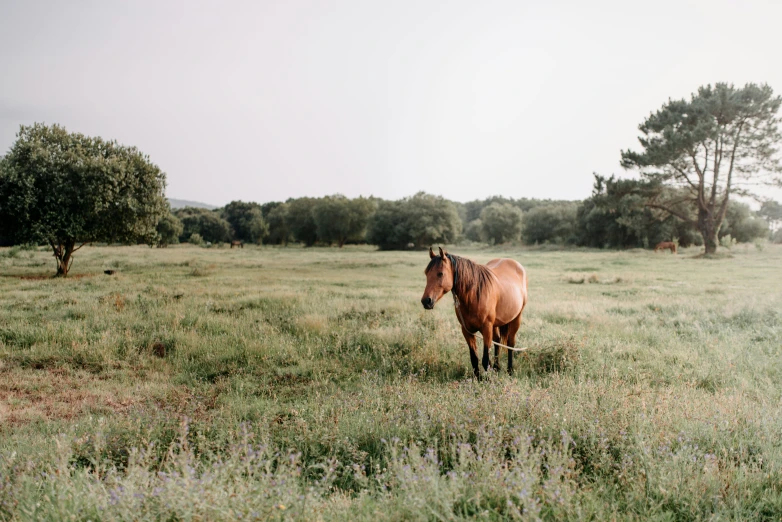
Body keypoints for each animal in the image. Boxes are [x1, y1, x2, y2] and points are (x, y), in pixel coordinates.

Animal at [422, 246, 532, 376]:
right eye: (426, 273)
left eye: (440, 273)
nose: (426, 301)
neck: (474, 295)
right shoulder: (467, 330)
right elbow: (474, 359)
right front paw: (479, 378)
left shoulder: (486, 328)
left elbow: (485, 360)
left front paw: (488, 379)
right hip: (496, 324)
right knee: (497, 340)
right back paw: (497, 368)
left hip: (516, 318)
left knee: (511, 342)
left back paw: (509, 371)